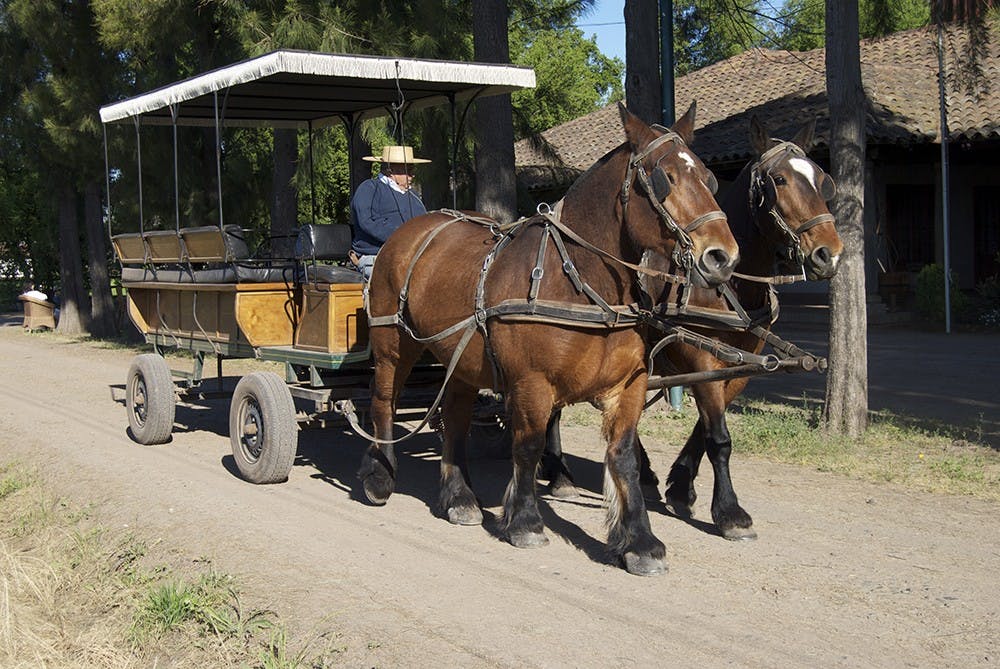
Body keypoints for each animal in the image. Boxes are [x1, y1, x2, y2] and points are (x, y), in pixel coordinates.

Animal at [359, 102, 738, 575]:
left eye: (708, 178)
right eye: (661, 178)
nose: (723, 256)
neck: (580, 280)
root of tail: (415, 228)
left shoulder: (628, 386)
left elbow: (625, 458)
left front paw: (640, 541)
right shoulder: (531, 382)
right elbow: (528, 446)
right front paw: (525, 521)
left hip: (459, 360)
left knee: (456, 417)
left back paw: (460, 497)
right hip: (394, 343)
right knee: (383, 402)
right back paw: (379, 475)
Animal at [541, 116, 844, 542]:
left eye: (822, 179)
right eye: (780, 180)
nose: (829, 253)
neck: (728, 286)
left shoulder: (738, 363)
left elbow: (706, 428)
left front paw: (681, 485)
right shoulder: (699, 354)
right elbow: (719, 437)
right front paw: (730, 512)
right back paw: (560, 474)